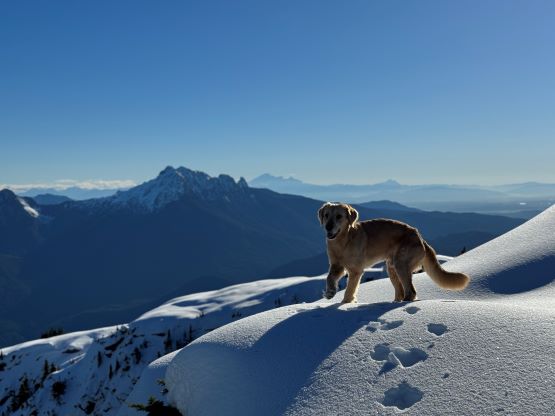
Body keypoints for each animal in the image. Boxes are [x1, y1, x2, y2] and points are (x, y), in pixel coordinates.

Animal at [318, 202, 469, 303]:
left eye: (339, 216)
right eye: (326, 215)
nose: (328, 227)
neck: (343, 241)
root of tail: (420, 237)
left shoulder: (356, 270)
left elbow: (350, 289)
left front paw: (346, 302)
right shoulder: (337, 265)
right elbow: (329, 277)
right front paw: (330, 292)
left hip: (401, 264)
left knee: (411, 291)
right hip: (392, 268)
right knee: (401, 292)